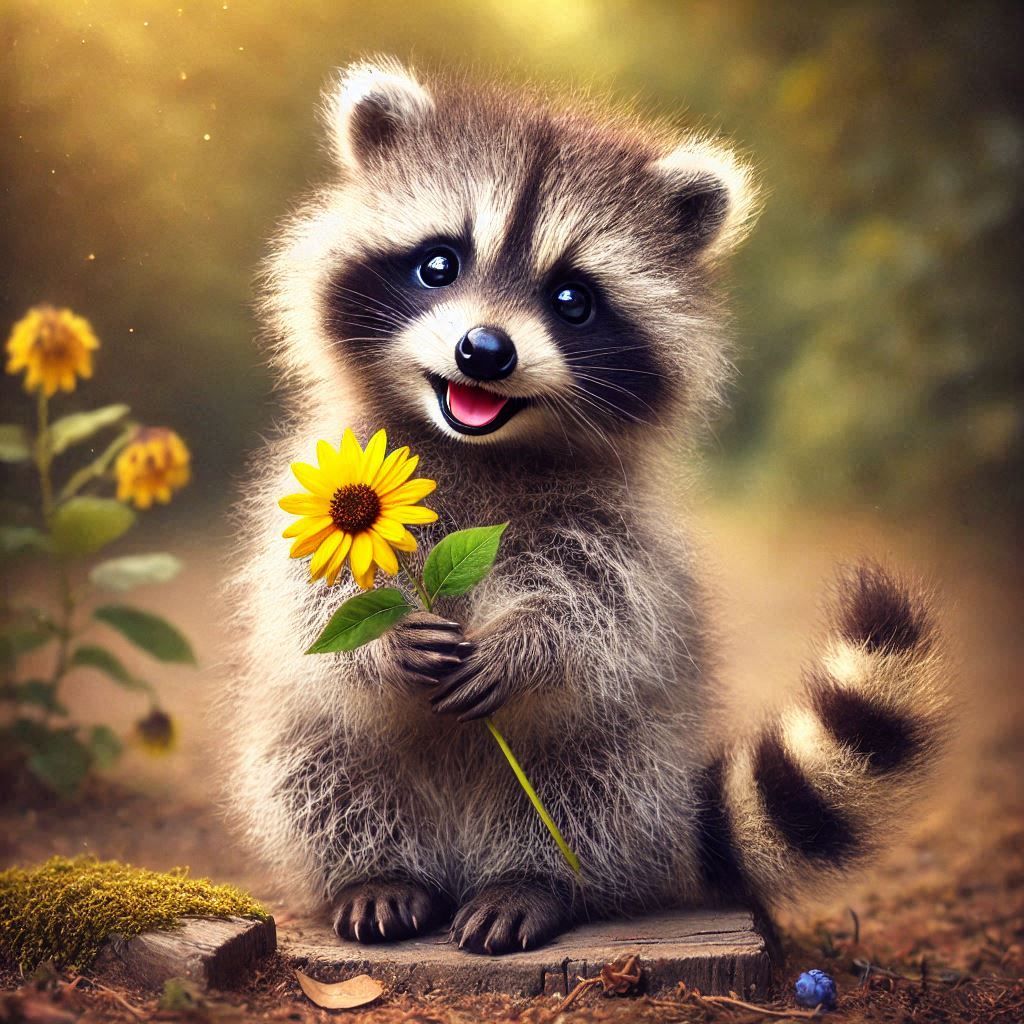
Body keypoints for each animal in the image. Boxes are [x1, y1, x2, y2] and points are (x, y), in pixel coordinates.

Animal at [222, 59, 951, 955]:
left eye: (572, 298)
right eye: (439, 264)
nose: (483, 352)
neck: (481, 448)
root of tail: (455, 854)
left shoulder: (614, 518)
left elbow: (598, 610)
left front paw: (527, 642)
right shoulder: (322, 483)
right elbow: (313, 605)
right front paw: (383, 636)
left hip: (630, 757)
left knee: (589, 778)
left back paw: (533, 881)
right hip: (313, 746)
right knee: (317, 764)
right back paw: (376, 871)